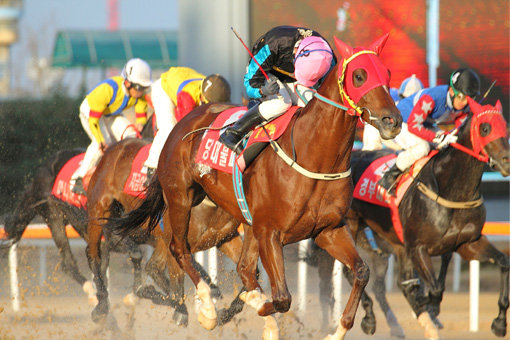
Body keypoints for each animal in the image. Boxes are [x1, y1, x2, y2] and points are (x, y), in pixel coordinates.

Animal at [85, 137, 245, 328]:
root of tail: (115, 148)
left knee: (151, 266)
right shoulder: (175, 241)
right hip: (98, 209)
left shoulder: (224, 238)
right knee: (95, 255)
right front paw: (184, 311)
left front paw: (224, 313)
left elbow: (250, 272)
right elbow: (177, 281)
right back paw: (101, 305)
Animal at [106, 33, 402, 338]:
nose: (392, 120)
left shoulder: (328, 230)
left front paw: (336, 330)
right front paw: (239, 304)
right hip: (180, 198)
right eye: (359, 75)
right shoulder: (270, 232)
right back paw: (207, 310)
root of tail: (186, 121)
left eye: (388, 73)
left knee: (244, 268)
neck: (315, 157)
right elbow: (282, 298)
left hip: (240, 220)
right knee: (180, 249)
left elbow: (362, 272)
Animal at [342, 97, 510, 338]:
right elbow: (435, 289)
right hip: (353, 226)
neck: (453, 190)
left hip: (395, 243)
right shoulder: (418, 247)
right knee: (353, 272)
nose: (506, 162)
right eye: (485, 128)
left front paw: (499, 323)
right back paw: (370, 319)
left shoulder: (468, 243)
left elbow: (504, 262)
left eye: (505, 126)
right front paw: (429, 305)